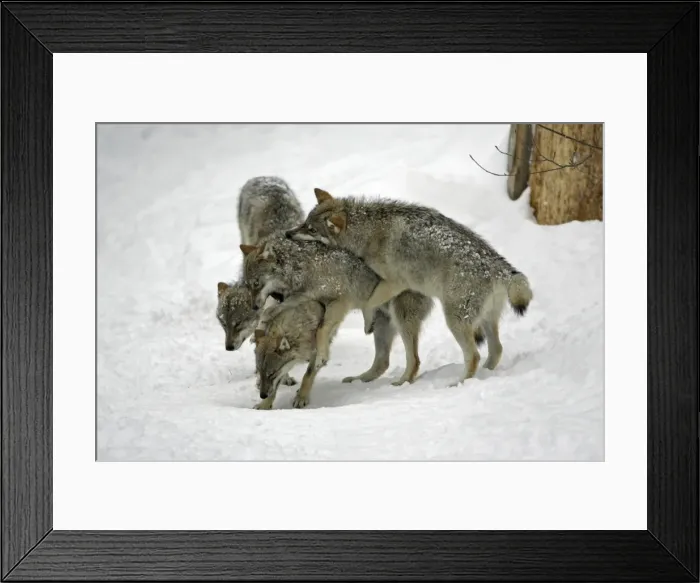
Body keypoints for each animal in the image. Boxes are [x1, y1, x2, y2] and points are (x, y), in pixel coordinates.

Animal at [240, 232, 437, 387]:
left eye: (256, 284)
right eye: (248, 286)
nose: (254, 306)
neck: (303, 269)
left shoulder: (339, 303)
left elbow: (321, 330)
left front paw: (321, 356)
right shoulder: (303, 298)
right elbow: (269, 312)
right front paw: (259, 331)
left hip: (401, 321)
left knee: (414, 359)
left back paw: (402, 382)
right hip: (382, 327)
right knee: (382, 362)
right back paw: (358, 379)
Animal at [286, 188, 533, 384]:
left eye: (312, 230)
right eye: (305, 224)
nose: (287, 233)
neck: (367, 231)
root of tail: (498, 266)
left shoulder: (395, 283)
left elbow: (369, 302)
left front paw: (367, 321)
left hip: (439, 320)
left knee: (460, 357)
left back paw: (449, 383)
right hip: (482, 321)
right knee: (496, 350)